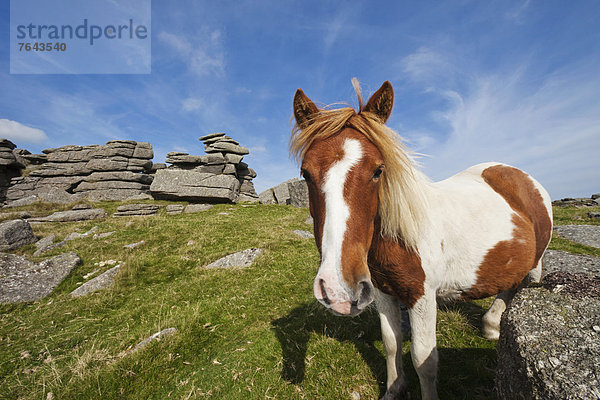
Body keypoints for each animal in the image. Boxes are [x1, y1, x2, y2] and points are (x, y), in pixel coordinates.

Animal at [290, 81, 552, 400]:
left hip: (536, 261)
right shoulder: (382, 293)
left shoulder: (422, 296)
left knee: (521, 285)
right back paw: (491, 326)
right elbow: (391, 344)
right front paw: (393, 390)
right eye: (306, 173)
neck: (401, 238)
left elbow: (423, 358)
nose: (339, 290)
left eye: (378, 170)